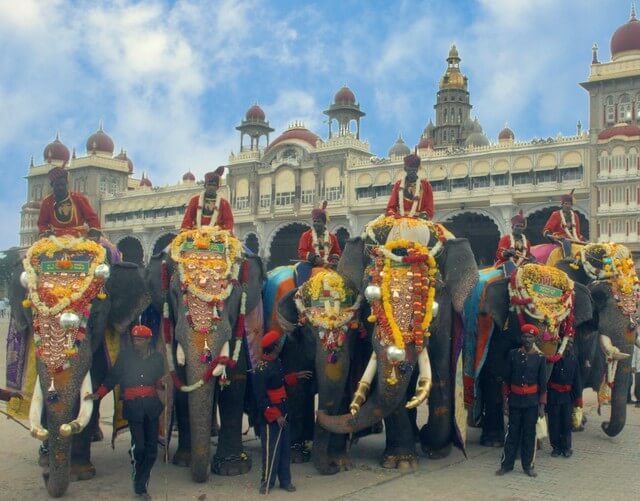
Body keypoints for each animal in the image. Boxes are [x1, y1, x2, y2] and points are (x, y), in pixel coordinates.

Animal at [6, 236, 149, 494]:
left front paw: (80, 472)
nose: (45, 477)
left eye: (94, 319)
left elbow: (93, 388)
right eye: (33, 320)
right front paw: (48, 460)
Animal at [145, 229, 264, 482]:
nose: (204, 472)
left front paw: (232, 469)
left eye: (232, 294)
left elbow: (235, 379)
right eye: (175, 293)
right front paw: (184, 461)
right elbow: (181, 380)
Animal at [318, 216, 478, 468]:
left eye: (434, 288)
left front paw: (435, 449)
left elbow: (441, 372)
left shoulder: (446, 318)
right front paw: (400, 462)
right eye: (369, 290)